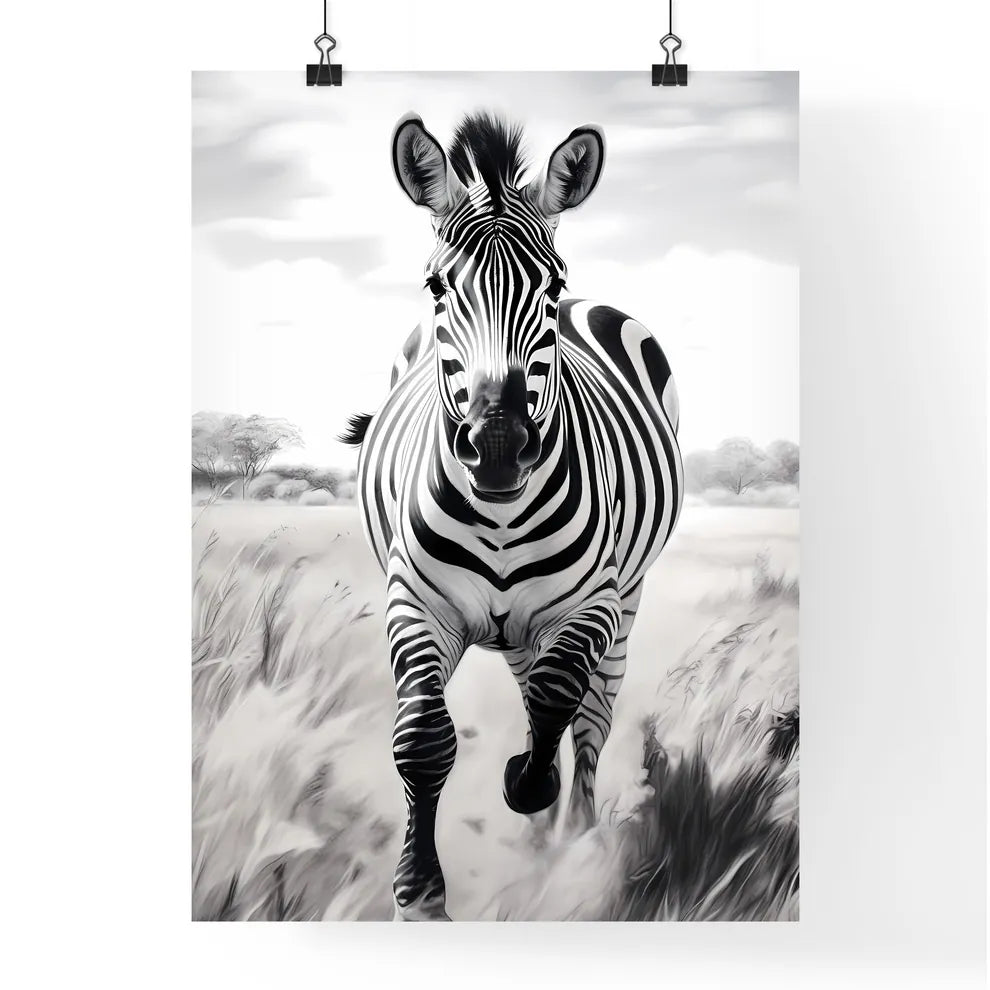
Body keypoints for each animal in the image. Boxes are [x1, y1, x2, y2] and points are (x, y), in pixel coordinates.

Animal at [342, 111, 682, 921]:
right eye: (437, 286)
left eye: (552, 286)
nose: (497, 446)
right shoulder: (415, 601)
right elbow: (423, 735)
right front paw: (418, 890)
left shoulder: (594, 602)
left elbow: (559, 706)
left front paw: (531, 791)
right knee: (539, 697)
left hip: (624, 600)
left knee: (587, 717)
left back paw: (573, 835)